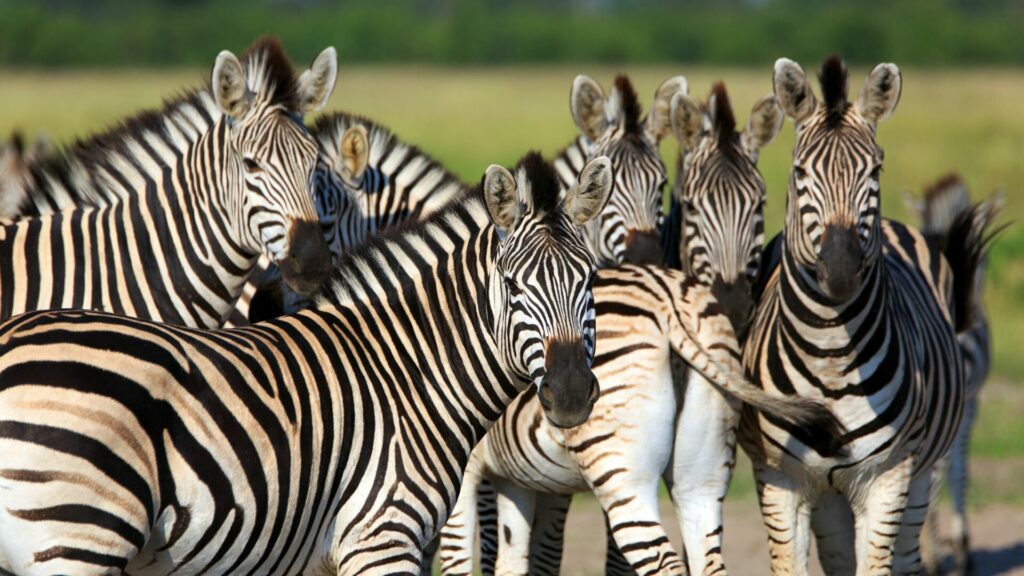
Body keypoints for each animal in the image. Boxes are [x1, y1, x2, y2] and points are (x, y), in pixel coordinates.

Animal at [0, 151, 606, 573]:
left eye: (590, 280)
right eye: (513, 286)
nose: (572, 393)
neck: (409, 374)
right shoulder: (382, 536)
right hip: (79, 533)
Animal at [741, 54, 995, 573]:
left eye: (875, 170)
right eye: (799, 171)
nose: (839, 271)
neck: (829, 358)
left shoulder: (886, 476)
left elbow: (877, 564)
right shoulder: (780, 478)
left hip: (919, 471)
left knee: (910, 550)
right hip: (830, 496)